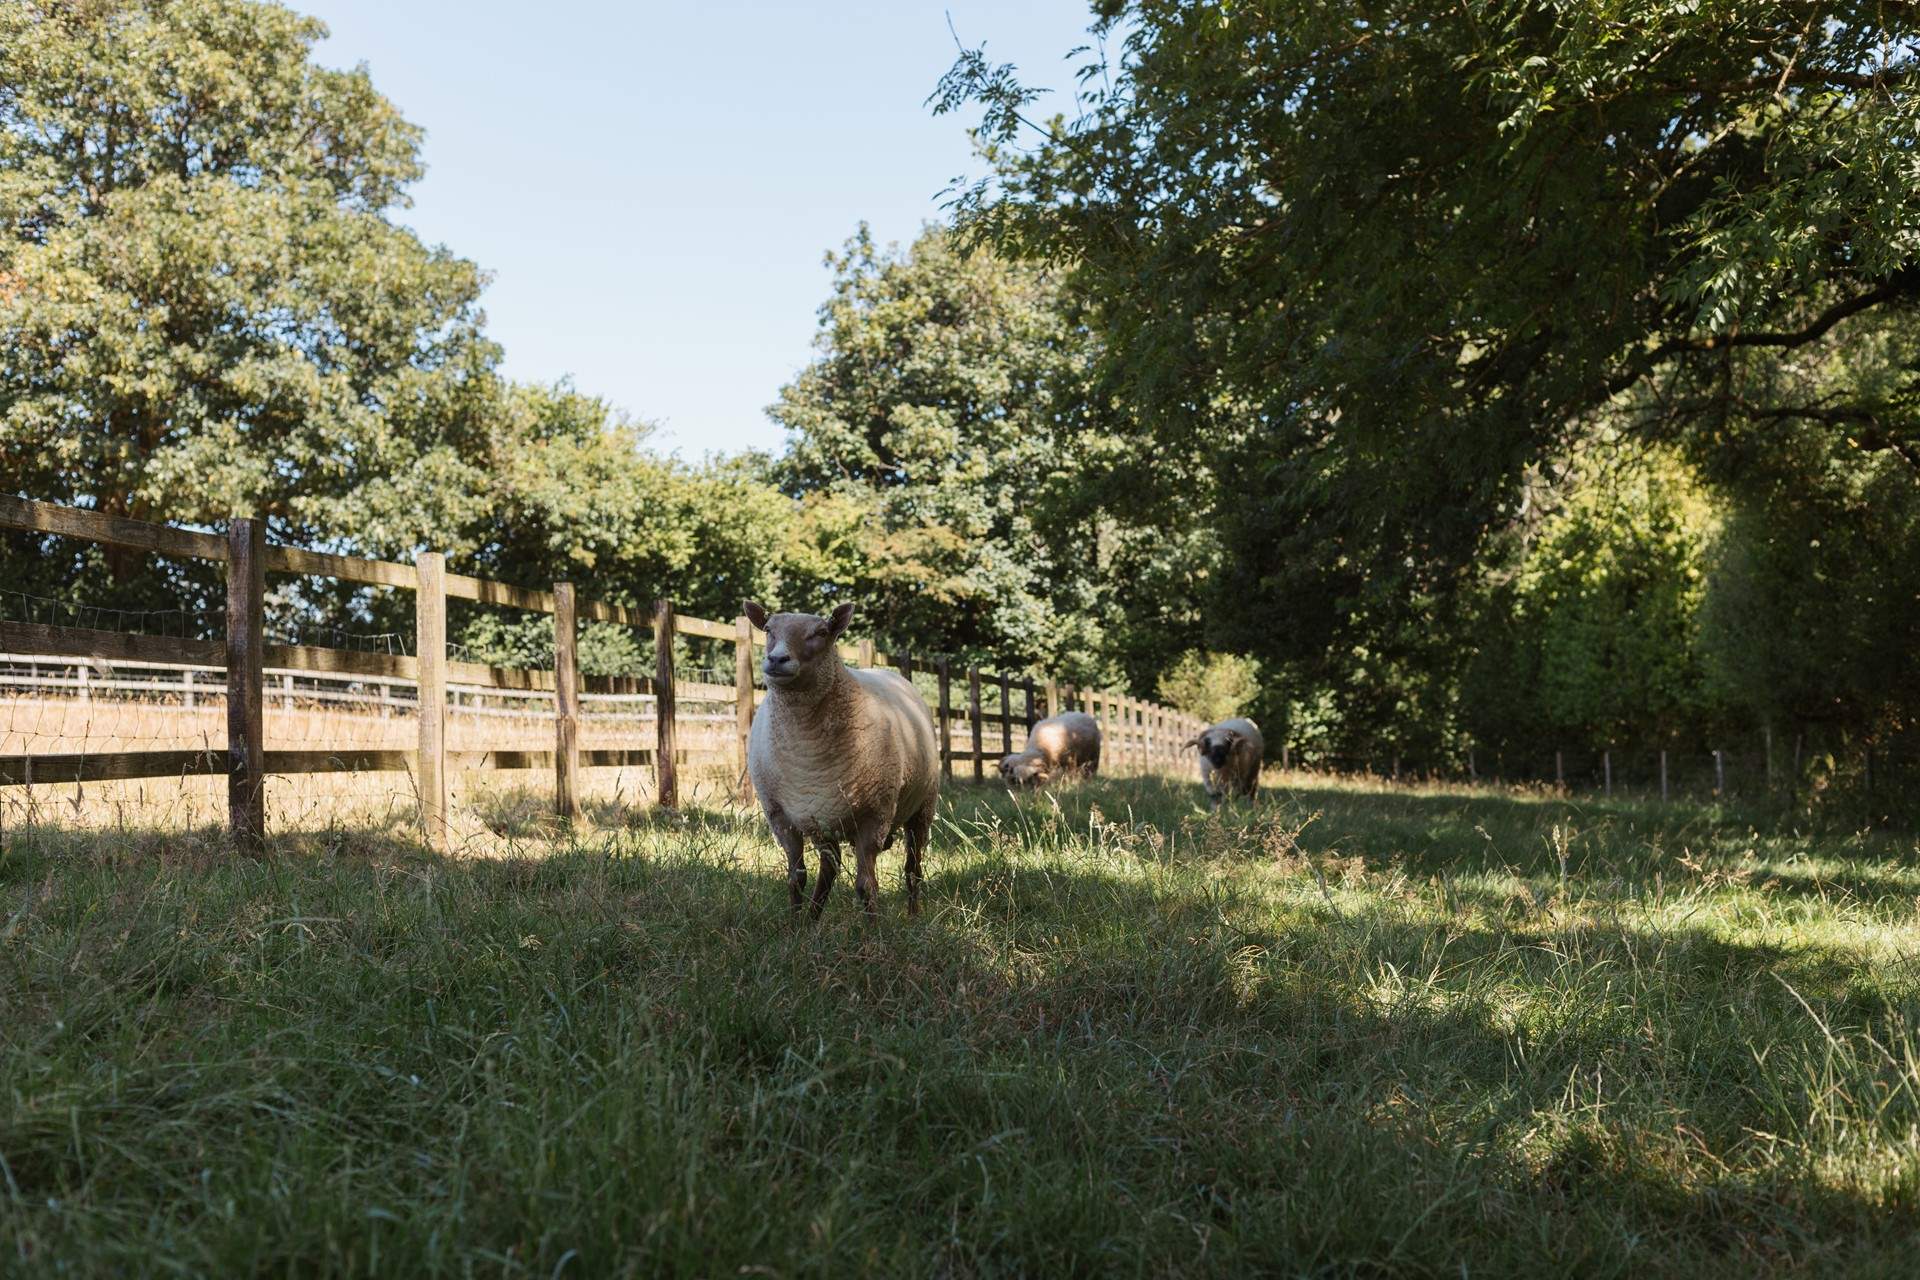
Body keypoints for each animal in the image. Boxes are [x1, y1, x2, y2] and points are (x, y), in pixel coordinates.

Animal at [743, 600, 940, 918]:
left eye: (821, 632)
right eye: (768, 629)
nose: (776, 659)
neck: (805, 749)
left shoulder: (875, 816)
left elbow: (866, 886)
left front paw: (874, 929)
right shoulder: (780, 816)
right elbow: (796, 877)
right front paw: (794, 924)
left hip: (922, 807)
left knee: (913, 868)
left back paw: (913, 914)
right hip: (823, 815)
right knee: (829, 867)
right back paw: (813, 918)